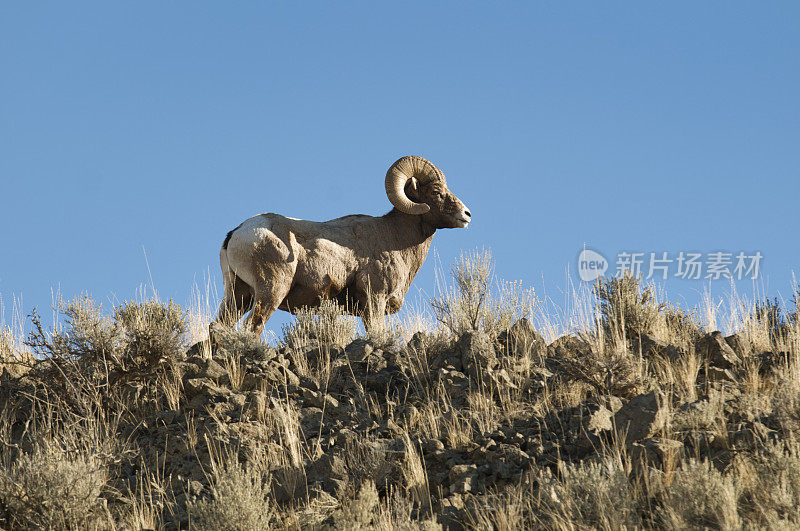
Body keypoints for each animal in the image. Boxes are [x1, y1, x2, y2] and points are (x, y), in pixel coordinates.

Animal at [216, 156, 472, 334]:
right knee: (253, 327)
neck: (396, 239)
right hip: (271, 291)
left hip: (239, 297)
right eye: (436, 192)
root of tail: (237, 233)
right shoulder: (374, 300)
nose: (466, 215)